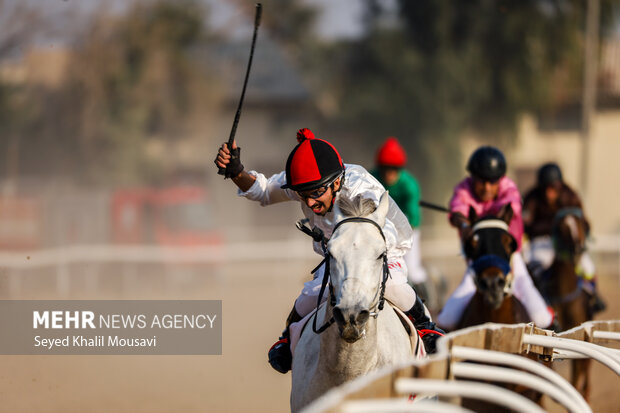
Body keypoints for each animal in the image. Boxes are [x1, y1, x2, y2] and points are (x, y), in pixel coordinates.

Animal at [544, 209, 592, 400]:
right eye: (563, 228)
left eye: (580, 223)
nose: (578, 247)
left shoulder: (578, 330)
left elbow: (577, 370)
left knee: (585, 367)